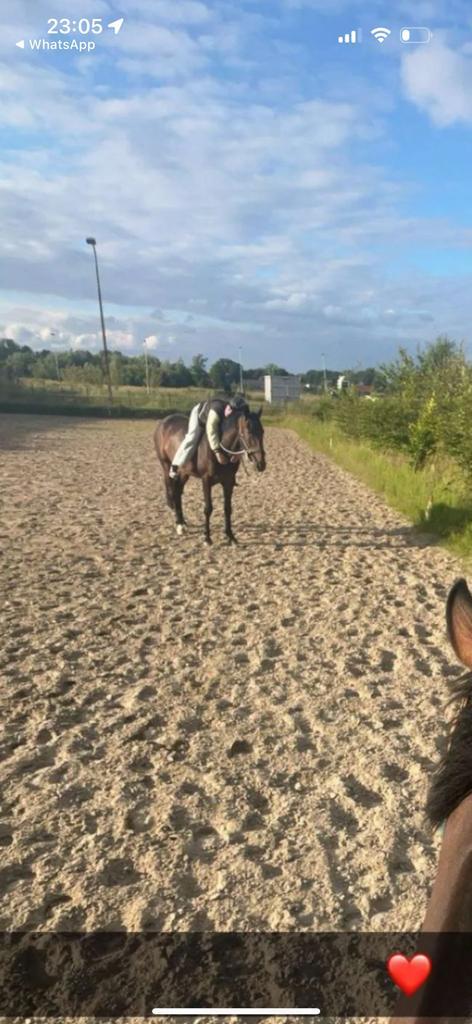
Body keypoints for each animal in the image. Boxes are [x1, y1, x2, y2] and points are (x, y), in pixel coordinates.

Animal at [154, 405, 266, 545]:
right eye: (249, 432)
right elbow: (208, 509)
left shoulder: (228, 482)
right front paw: (207, 537)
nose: (261, 464)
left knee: (177, 492)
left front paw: (230, 536)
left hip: (184, 472)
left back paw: (182, 523)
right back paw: (179, 524)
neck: (220, 449)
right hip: (166, 466)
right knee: (173, 491)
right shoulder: (206, 480)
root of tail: (163, 422)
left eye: (262, 432)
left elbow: (227, 508)